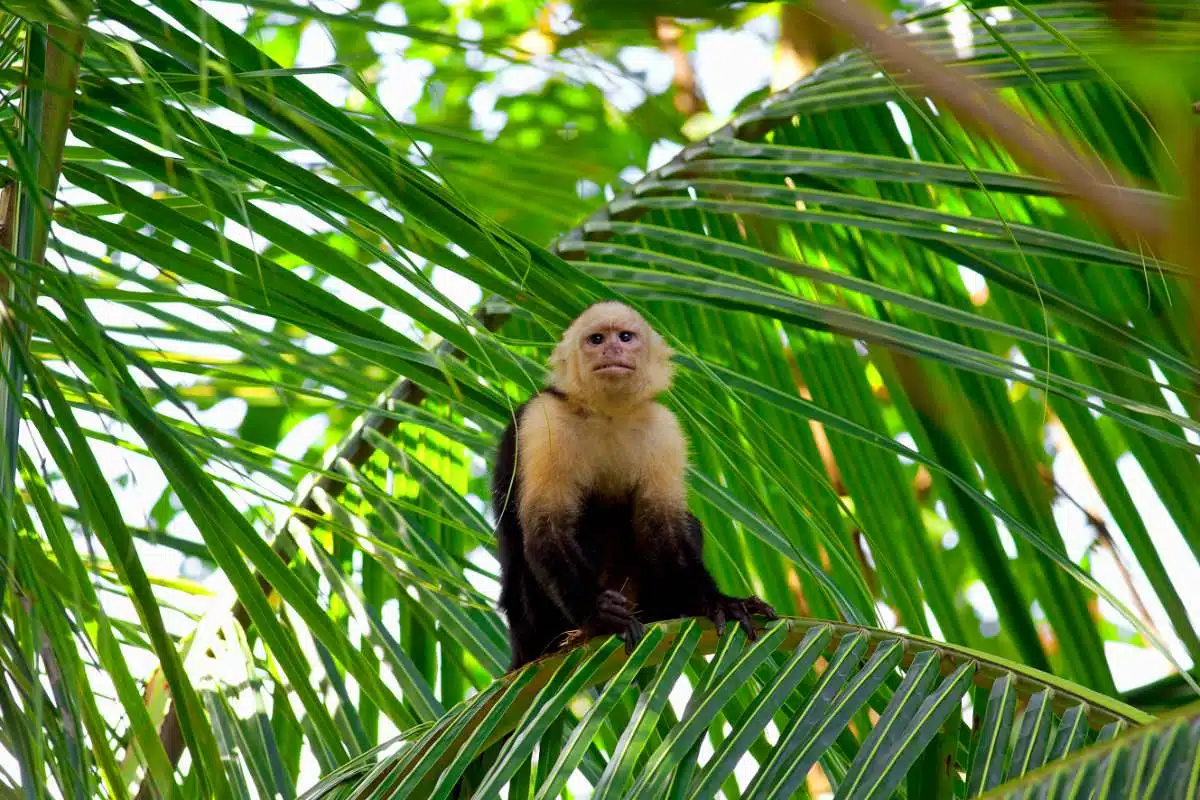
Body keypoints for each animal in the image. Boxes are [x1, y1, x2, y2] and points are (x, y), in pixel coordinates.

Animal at [489, 299, 777, 671]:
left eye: (626, 337)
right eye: (596, 339)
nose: (612, 348)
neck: (608, 414)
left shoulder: (665, 429)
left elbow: (663, 527)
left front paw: (717, 601)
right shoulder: (544, 419)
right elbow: (548, 528)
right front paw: (600, 614)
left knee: (686, 525)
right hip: (534, 622)